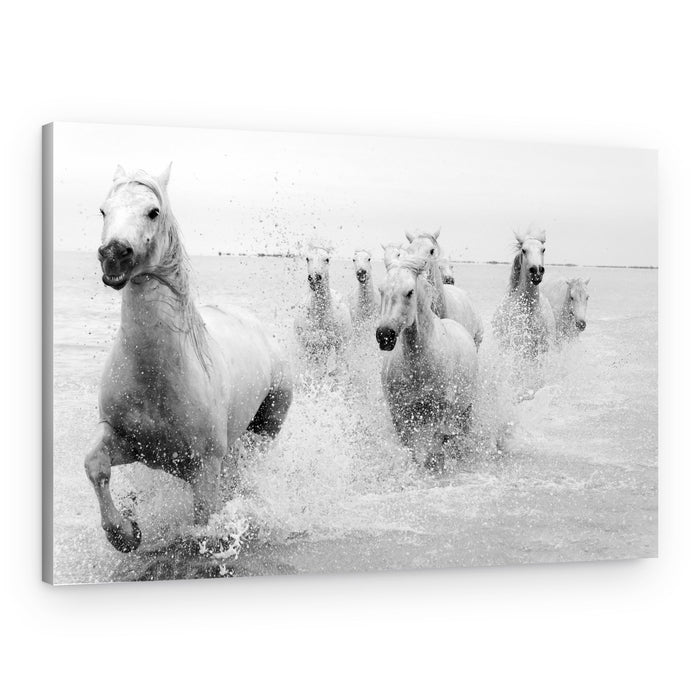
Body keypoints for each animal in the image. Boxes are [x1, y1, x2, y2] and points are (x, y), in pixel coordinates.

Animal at [85, 164, 293, 553]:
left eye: (153, 211)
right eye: (103, 210)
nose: (114, 254)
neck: (155, 374)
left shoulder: (205, 467)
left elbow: (204, 520)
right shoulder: (125, 439)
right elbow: (95, 465)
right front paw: (125, 533)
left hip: (266, 427)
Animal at [376, 255, 478, 470]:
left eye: (410, 292)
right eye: (381, 290)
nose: (384, 335)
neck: (418, 368)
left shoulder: (442, 412)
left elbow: (435, 447)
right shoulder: (399, 414)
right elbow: (412, 450)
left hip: (465, 409)